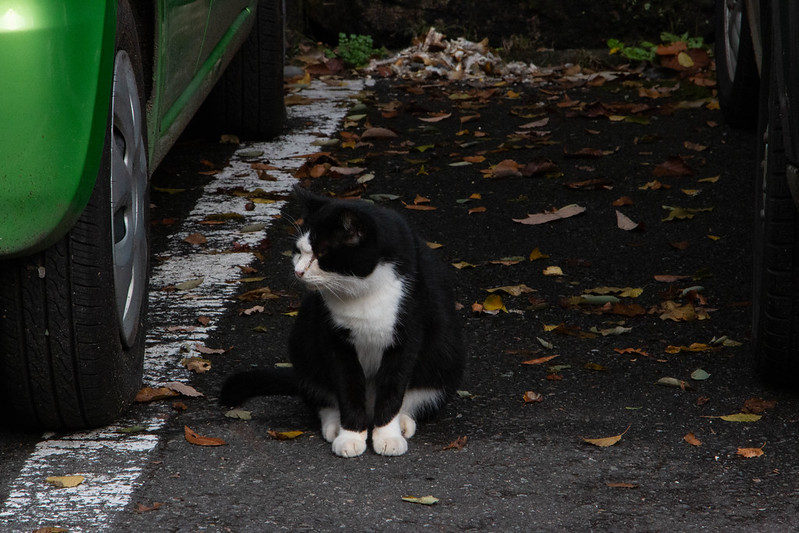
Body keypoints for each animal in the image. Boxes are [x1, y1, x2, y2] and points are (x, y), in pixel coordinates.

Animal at [222, 188, 466, 458]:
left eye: (321, 254)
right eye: (299, 251)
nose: (298, 271)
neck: (362, 293)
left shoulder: (408, 334)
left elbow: (393, 389)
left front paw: (387, 436)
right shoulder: (334, 339)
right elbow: (347, 388)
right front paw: (350, 436)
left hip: (447, 356)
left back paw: (402, 423)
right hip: (303, 346)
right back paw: (334, 425)